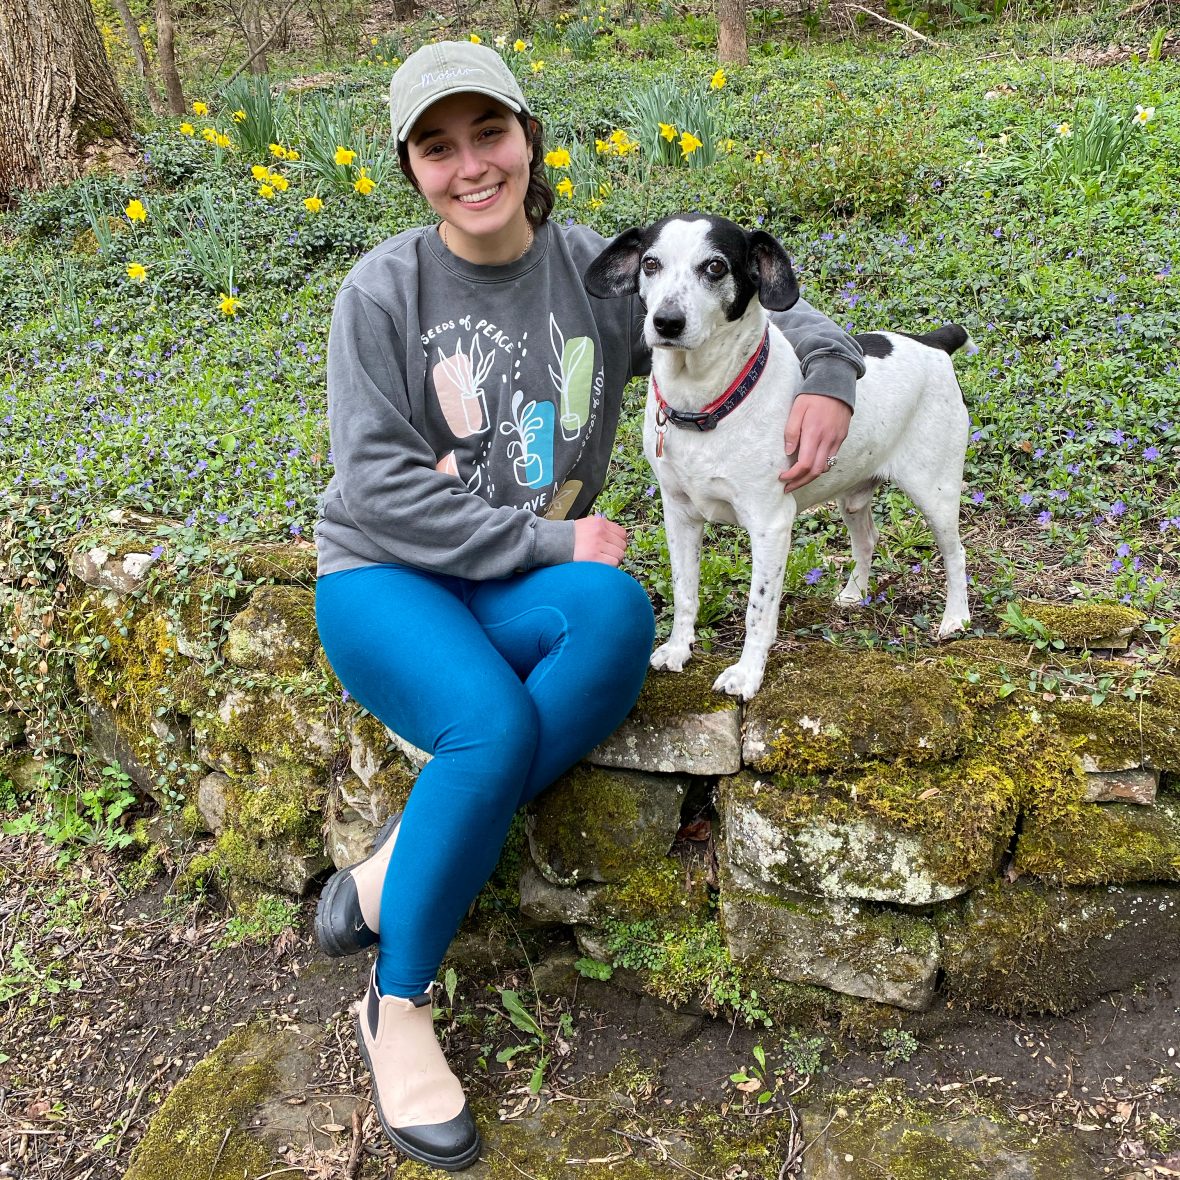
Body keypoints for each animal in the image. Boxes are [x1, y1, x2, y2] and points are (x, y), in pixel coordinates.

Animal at [585, 214, 972, 698]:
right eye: (650, 264)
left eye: (715, 267)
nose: (666, 322)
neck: (706, 405)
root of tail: (932, 342)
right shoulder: (679, 516)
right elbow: (684, 591)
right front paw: (678, 648)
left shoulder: (770, 525)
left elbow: (758, 609)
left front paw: (747, 673)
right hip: (852, 495)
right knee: (867, 540)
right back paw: (854, 593)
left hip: (935, 492)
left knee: (956, 554)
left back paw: (955, 619)